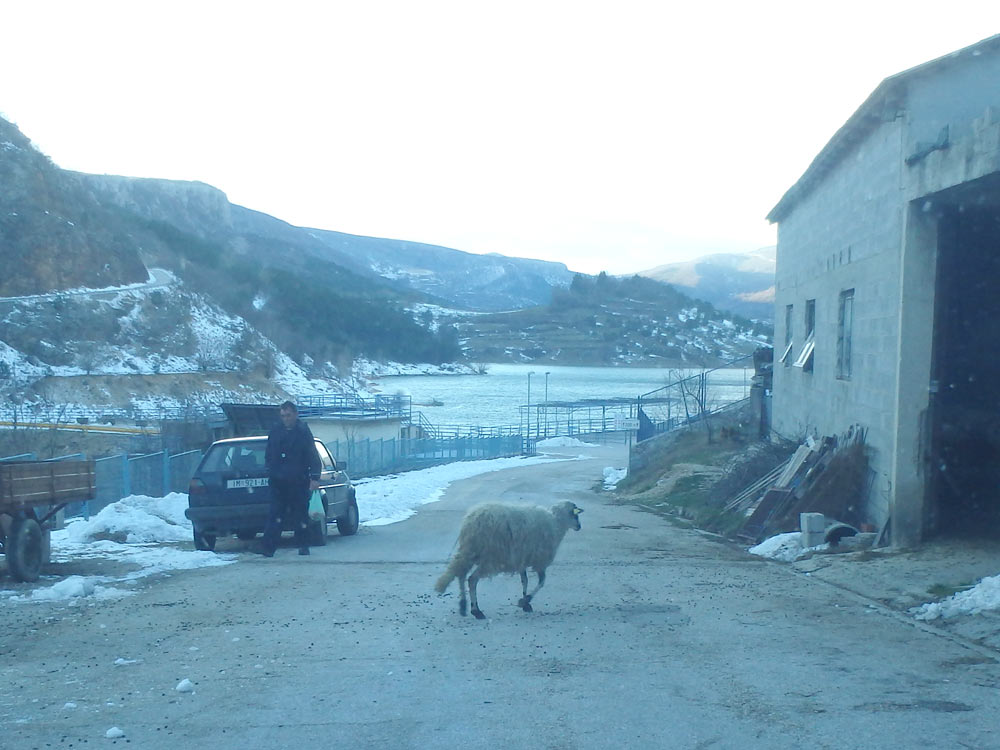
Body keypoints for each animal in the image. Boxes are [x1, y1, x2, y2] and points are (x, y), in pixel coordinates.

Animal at [434, 502, 584, 620]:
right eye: (575, 515)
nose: (579, 527)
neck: (556, 523)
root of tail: (470, 521)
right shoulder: (539, 561)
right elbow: (541, 582)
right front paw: (525, 601)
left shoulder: (521, 559)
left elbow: (525, 581)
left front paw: (525, 603)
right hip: (488, 557)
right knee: (471, 579)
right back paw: (476, 611)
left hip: (471, 552)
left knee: (460, 574)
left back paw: (463, 606)